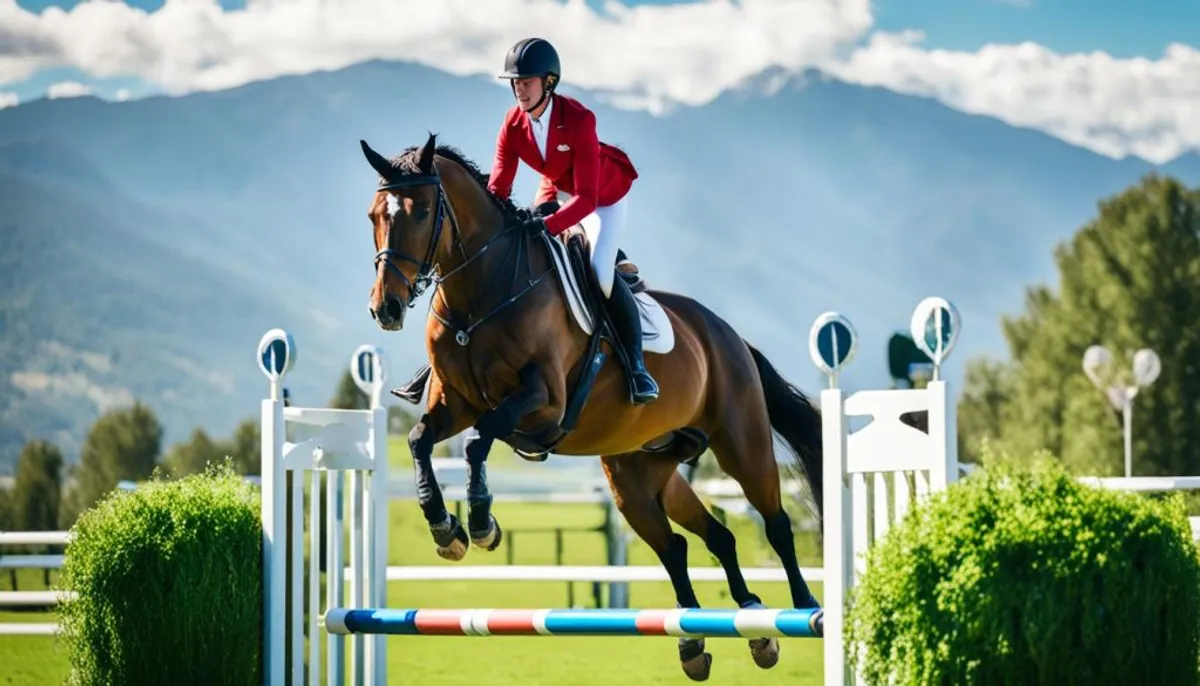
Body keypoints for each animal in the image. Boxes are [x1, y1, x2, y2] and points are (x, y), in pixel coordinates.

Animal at [357, 133, 825, 681]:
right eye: (375, 215)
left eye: (425, 211)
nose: (385, 308)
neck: (482, 293)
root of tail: (728, 335)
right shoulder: (455, 403)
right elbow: (419, 439)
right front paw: (444, 526)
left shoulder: (544, 401)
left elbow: (478, 440)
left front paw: (481, 525)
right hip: (638, 475)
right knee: (694, 541)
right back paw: (727, 633)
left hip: (740, 442)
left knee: (775, 523)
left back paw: (802, 608)